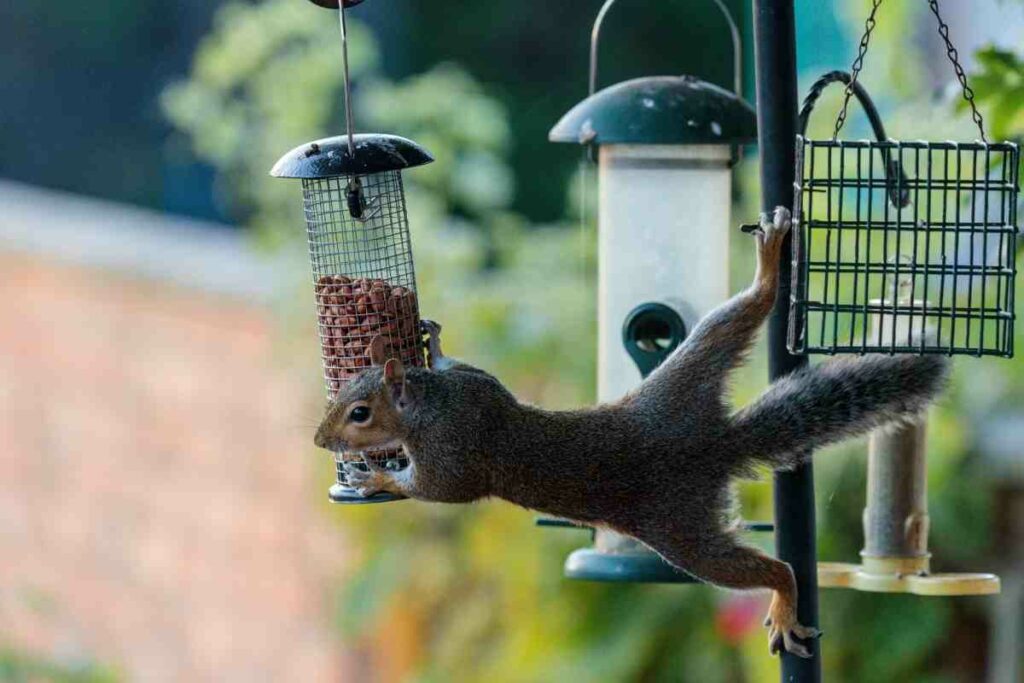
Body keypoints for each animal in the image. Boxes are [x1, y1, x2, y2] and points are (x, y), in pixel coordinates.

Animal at [314, 206, 949, 659]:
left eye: (360, 413)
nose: (321, 441)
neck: (430, 404)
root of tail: (714, 444)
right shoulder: (477, 388)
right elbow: (468, 368)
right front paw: (434, 339)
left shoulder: (456, 456)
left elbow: (437, 491)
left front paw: (379, 479)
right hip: (692, 370)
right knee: (746, 311)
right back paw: (769, 268)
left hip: (682, 532)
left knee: (770, 568)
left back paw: (786, 603)